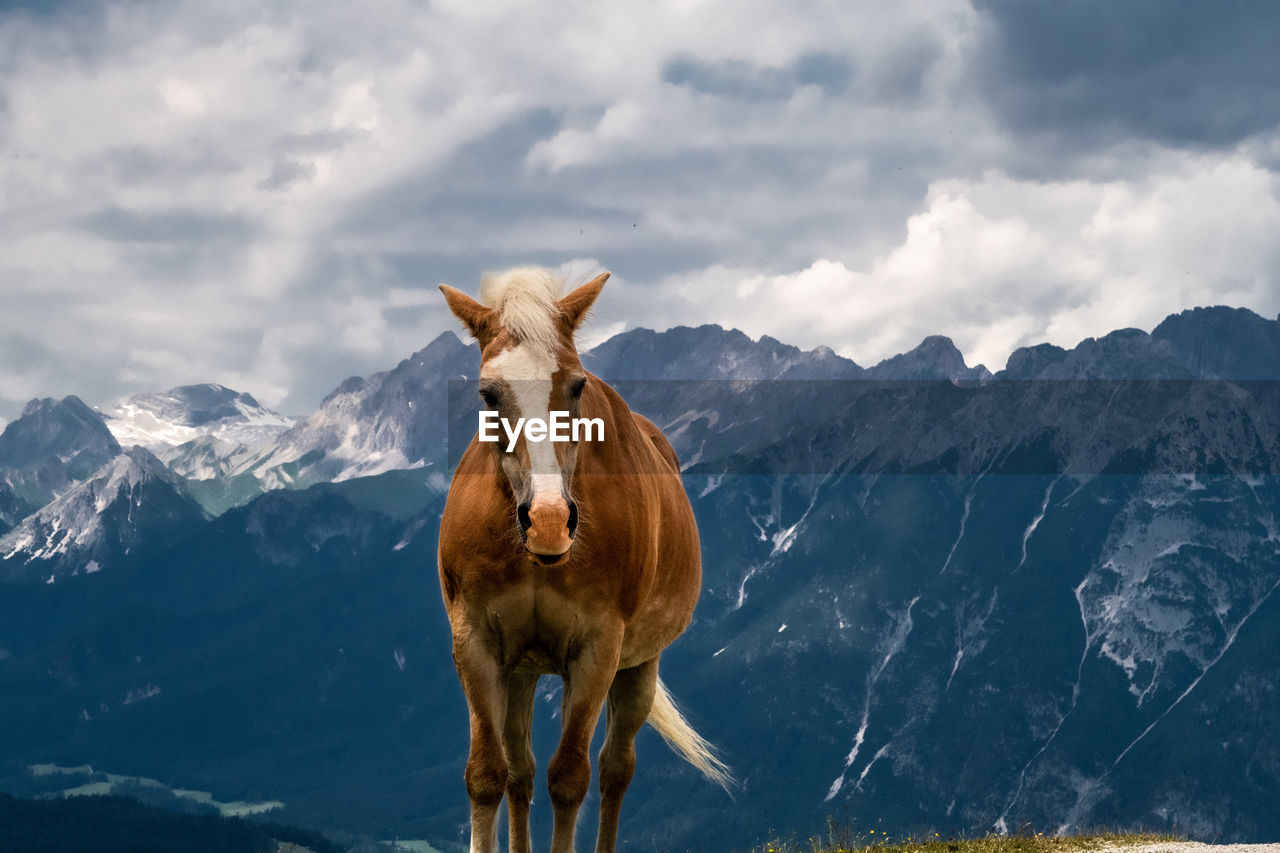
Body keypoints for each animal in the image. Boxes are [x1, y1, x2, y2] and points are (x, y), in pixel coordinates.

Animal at [435, 266, 727, 850]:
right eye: (487, 393)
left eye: (576, 385)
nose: (548, 520)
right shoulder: (474, 642)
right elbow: (487, 774)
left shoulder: (598, 649)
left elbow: (569, 777)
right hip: (521, 669)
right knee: (519, 771)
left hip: (638, 665)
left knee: (616, 768)